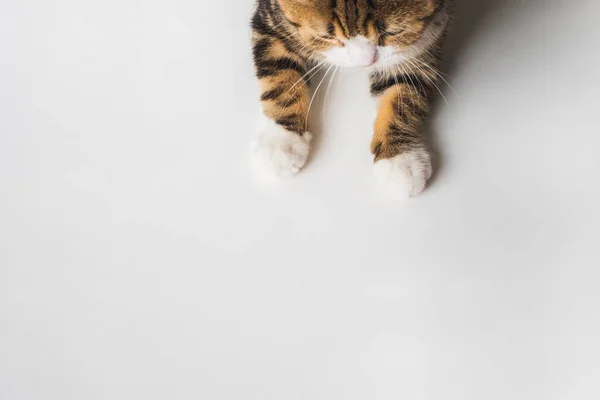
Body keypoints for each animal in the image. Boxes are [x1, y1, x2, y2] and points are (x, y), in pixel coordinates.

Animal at [248, 0, 450, 198]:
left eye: (394, 32)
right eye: (325, 36)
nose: (364, 63)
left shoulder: (427, 35)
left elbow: (404, 91)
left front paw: (401, 159)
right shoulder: (270, 18)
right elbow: (280, 73)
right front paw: (281, 140)